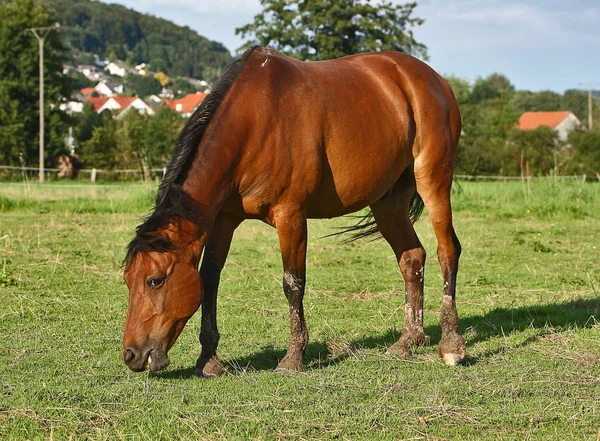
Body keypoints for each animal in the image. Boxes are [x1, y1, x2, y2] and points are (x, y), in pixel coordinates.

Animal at [122, 45, 464, 374]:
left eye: (155, 280)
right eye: (127, 279)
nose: (131, 355)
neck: (254, 121)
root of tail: (434, 79)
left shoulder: (291, 216)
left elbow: (293, 283)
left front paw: (293, 357)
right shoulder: (224, 220)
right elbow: (209, 280)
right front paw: (208, 360)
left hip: (433, 179)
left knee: (447, 250)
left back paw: (451, 344)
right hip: (388, 202)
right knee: (412, 258)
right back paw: (408, 340)